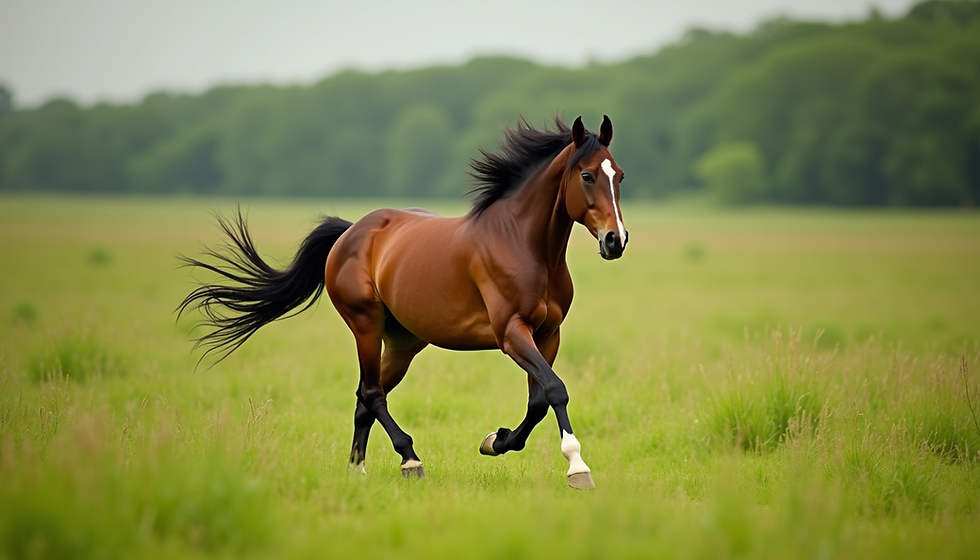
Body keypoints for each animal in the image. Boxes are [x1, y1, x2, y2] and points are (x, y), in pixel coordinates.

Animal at [178, 115, 628, 489]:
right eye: (587, 175)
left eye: (619, 175)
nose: (616, 241)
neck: (523, 244)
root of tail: (351, 231)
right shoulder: (511, 333)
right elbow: (555, 390)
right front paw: (577, 467)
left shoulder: (547, 334)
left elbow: (539, 400)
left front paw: (495, 440)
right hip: (366, 325)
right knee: (372, 393)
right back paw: (410, 460)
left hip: (404, 342)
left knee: (365, 396)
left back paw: (357, 470)